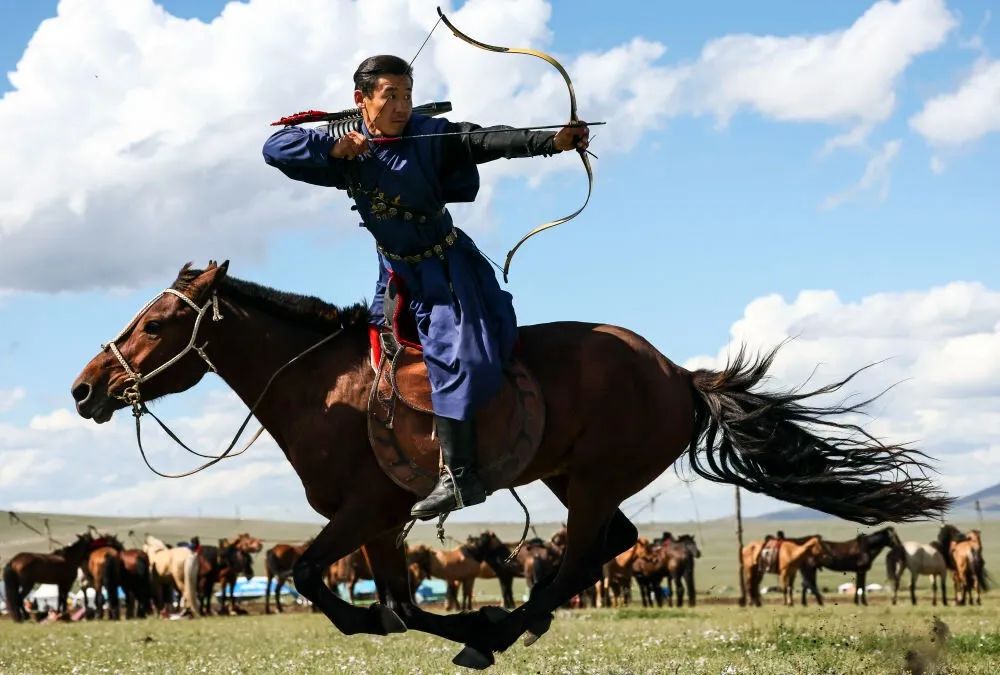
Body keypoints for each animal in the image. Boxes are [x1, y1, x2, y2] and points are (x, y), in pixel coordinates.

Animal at [71, 261, 950, 668]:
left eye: (156, 323)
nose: (85, 388)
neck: (326, 388)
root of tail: (678, 374)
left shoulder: (364, 513)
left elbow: (325, 583)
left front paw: (464, 625)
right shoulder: (382, 524)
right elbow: (395, 600)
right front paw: (449, 622)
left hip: (589, 480)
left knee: (581, 555)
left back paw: (503, 627)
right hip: (572, 476)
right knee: (604, 544)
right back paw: (507, 624)